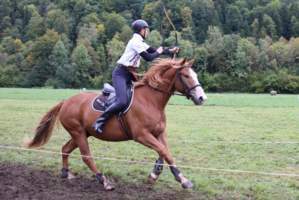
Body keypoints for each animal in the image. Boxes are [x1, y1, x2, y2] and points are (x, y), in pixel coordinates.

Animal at [25, 57, 207, 191]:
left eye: (195, 75)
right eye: (186, 76)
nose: (201, 98)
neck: (151, 100)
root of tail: (65, 102)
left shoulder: (159, 133)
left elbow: (165, 152)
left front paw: (155, 174)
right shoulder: (142, 135)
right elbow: (164, 151)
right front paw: (183, 179)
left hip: (82, 133)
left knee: (65, 149)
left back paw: (66, 174)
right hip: (78, 133)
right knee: (86, 157)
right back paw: (104, 181)